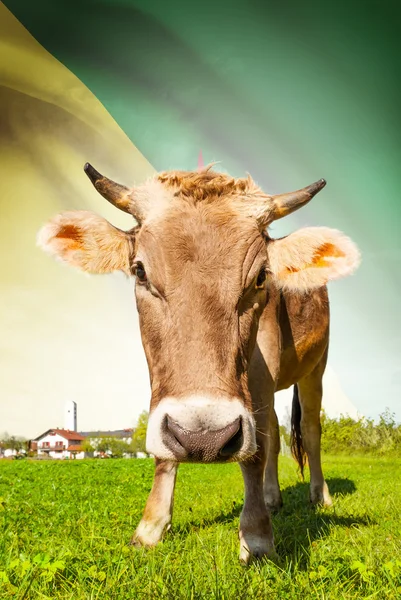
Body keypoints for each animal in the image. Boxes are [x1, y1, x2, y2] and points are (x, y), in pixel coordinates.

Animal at [37, 164, 360, 564]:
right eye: (140, 271)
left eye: (261, 277)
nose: (203, 438)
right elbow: (167, 449)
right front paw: (150, 527)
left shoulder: (263, 365)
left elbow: (254, 452)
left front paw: (256, 536)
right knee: (271, 429)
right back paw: (273, 497)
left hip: (316, 367)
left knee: (310, 431)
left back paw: (320, 495)